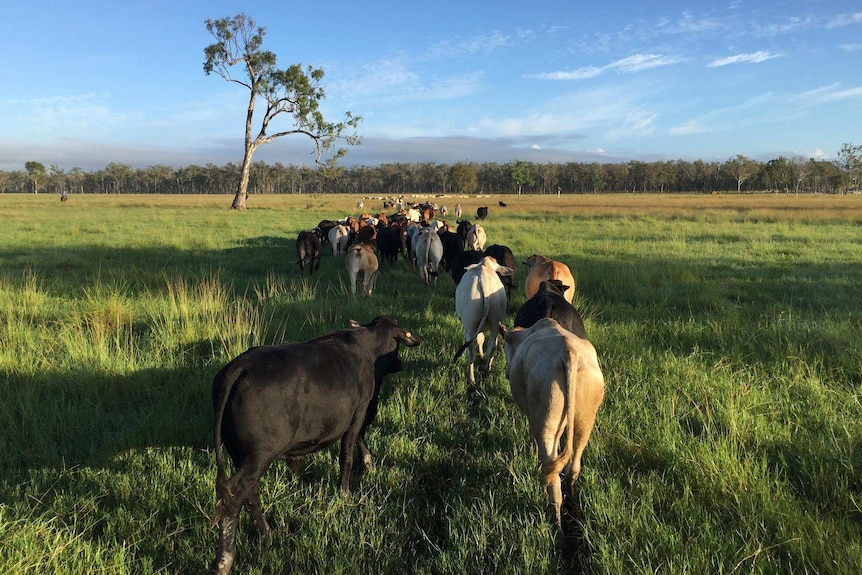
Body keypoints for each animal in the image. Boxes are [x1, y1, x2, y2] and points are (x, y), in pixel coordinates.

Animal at [211, 318, 424, 575]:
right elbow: (347, 453)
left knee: (248, 492)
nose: (399, 364)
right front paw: (345, 491)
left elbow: (358, 440)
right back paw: (225, 559)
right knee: (234, 496)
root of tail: (241, 365)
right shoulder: (360, 410)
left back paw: (266, 532)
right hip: (259, 455)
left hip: (240, 454)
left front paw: (367, 464)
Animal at [456, 258, 516, 388]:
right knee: (491, 346)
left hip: (470, 324)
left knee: (471, 351)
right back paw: (485, 368)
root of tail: (482, 277)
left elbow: (480, 339)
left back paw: (473, 378)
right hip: (495, 320)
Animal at [500, 320, 608, 532]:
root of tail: (568, 352)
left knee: (552, 476)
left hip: (546, 419)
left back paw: (557, 525)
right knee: (572, 467)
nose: (507, 373)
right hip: (585, 417)